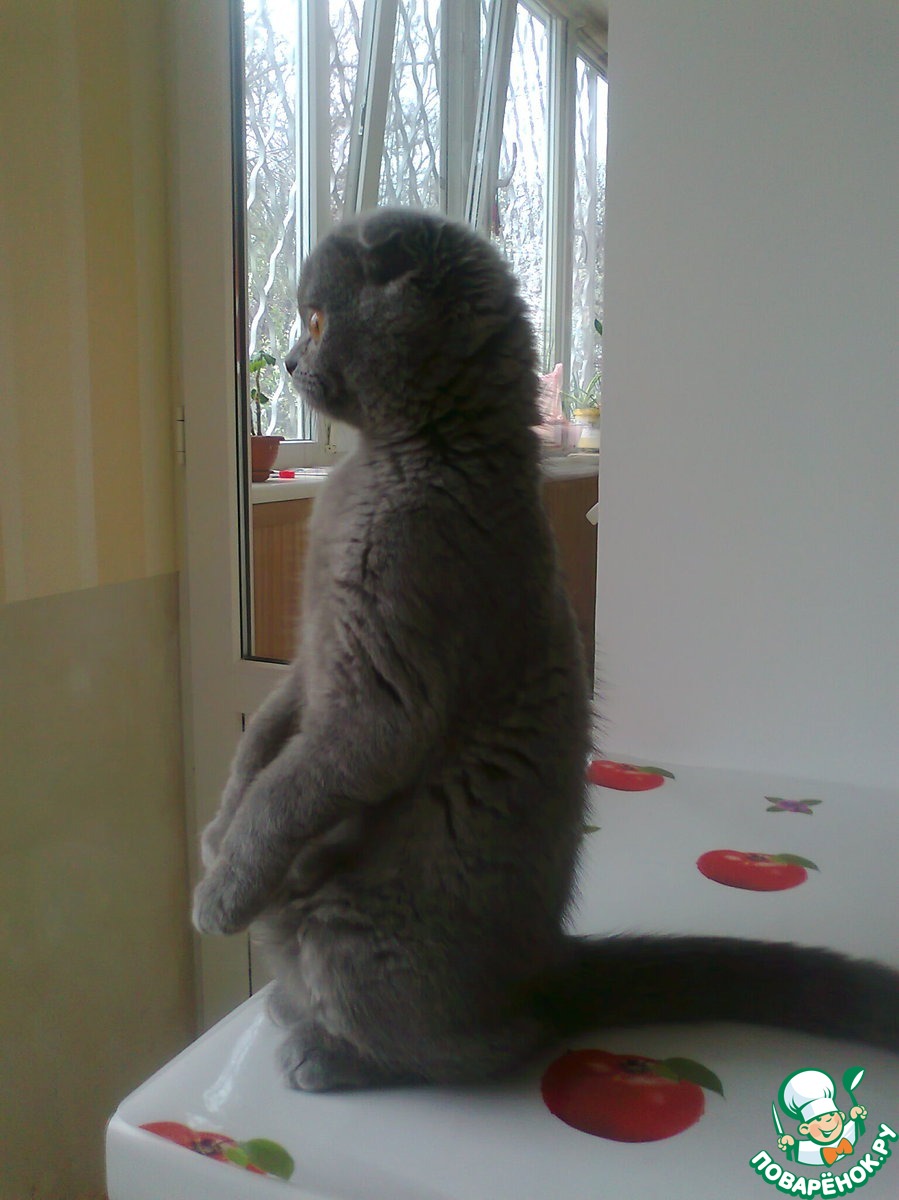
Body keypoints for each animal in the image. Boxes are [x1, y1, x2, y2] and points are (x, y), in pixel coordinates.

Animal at [193, 208, 899, 1091]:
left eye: (317, 318)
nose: (288, 359)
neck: (389, 465)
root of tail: (546, 969)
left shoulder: (378, 688)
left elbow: (289, 787)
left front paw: (221, 891)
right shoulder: (310, 656)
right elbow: (262, 741)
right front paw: (216, 837)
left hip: (360, 930)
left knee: (488, 1047)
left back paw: (327, 1053)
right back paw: (292, 1011)